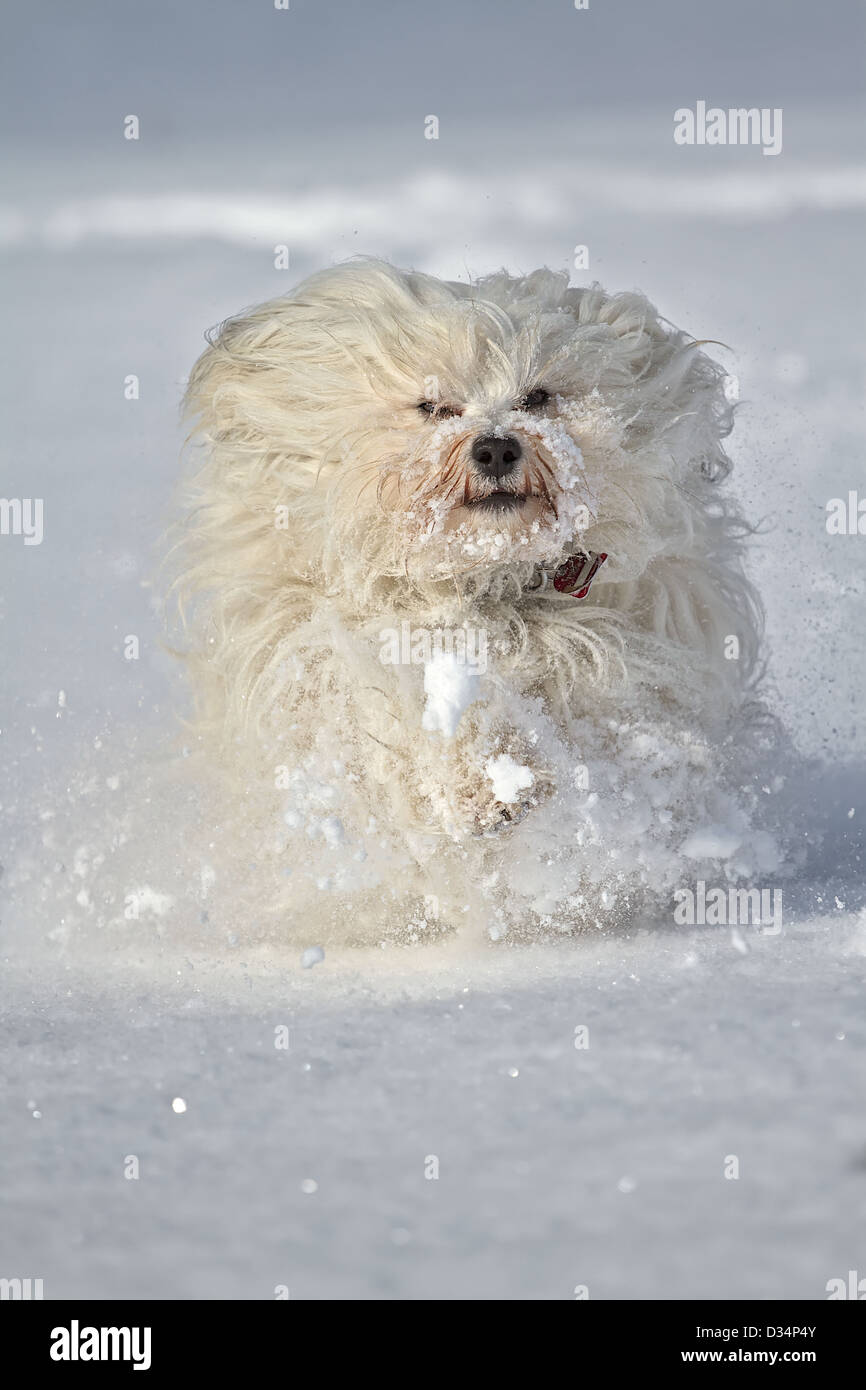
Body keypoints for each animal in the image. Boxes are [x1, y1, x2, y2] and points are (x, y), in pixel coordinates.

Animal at [173, 258, 783, 945]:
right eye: (433, 406)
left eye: (537, 396)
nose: (495, 446)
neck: (489, 578)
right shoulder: (328, 644)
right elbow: (395, 703)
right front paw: (483, 786)